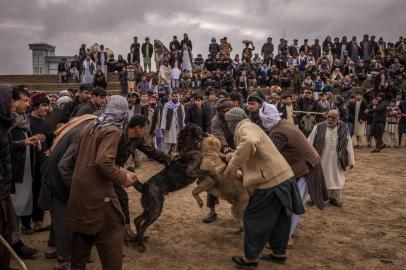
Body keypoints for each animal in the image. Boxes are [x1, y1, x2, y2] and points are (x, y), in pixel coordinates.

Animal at [132, 123, 213, 252]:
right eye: (199, 128)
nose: (207, 133)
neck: (189, 148)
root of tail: (144, 186)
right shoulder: (192, 172)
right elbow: (208, 171)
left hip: (149, 207)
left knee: (137, 220)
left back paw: (140, 240)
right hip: (156, 209)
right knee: (143, 225)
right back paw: (142, 245)